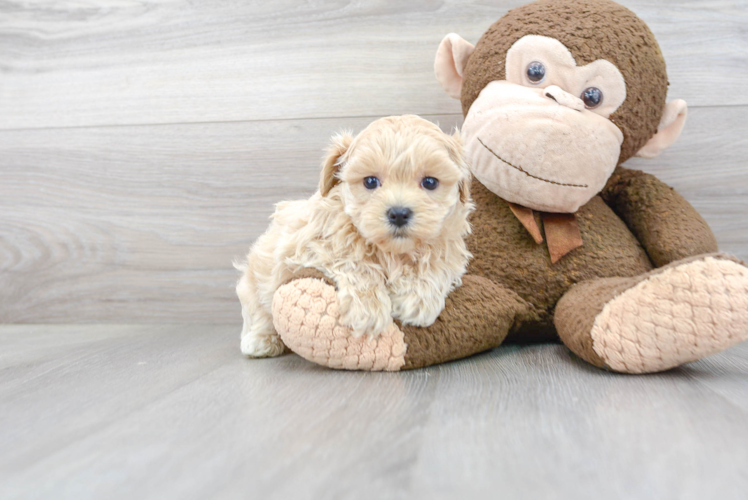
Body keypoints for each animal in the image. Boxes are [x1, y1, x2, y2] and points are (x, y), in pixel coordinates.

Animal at [238, 114, 474, 356]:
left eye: (430, 182)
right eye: (370, 182)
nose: (399, 213)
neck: (392, 252)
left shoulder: (449, 242)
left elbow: (437, 260)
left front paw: (418, 298)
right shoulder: (308, 246)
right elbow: (353, 260)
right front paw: (368, 308)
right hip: (255, 280)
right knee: (259, 311)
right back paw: (261, 341)